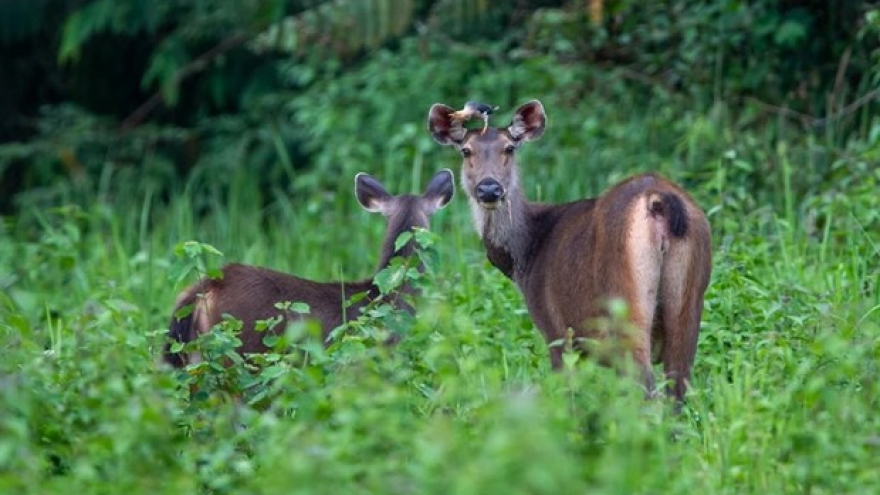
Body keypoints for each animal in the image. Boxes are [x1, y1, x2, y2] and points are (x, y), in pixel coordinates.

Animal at [430, 100, 712, 404]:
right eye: (466, 150)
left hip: (625, 303)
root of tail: (659, 200)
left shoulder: (556, 330)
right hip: (689, 303)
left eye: (509, 148)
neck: (526, 254)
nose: (489, 188)